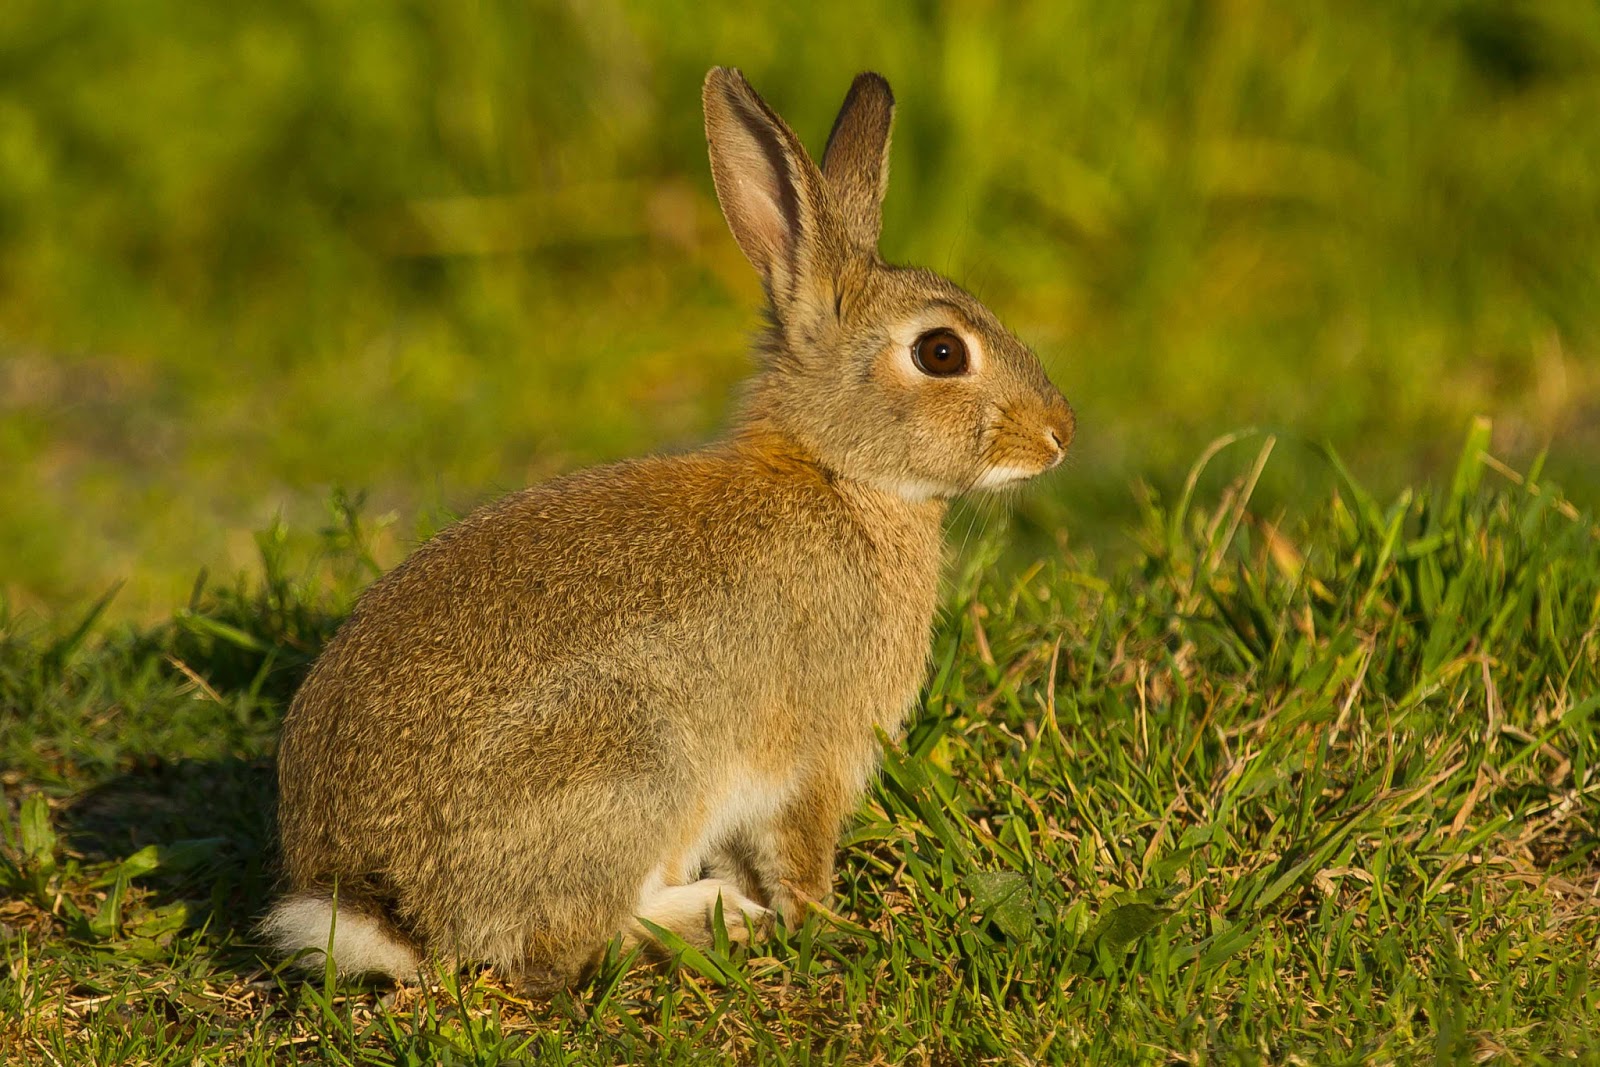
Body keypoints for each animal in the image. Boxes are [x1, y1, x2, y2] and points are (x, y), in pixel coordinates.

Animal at [263, 66, 1075, 992]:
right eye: (941, 353)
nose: (1059, 433)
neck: (841, 476)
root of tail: (386, 909)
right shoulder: (818, 751)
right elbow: (801, 855)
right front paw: (832, 924)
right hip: (635, 764)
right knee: (560, 945)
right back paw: (722, 920)